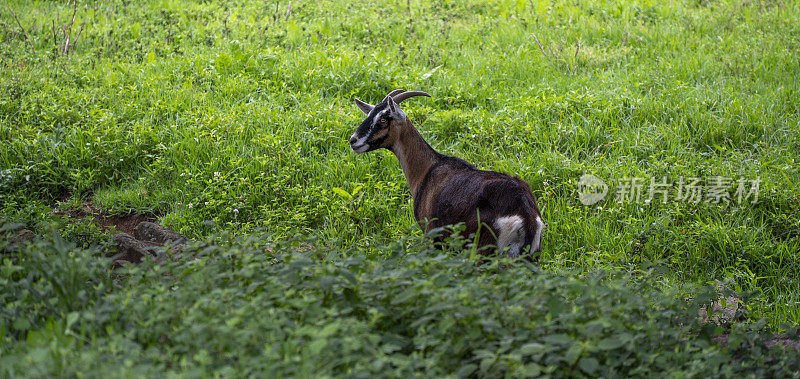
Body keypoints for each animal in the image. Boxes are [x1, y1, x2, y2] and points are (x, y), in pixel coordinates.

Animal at [350, 89, 544, 262]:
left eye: (383, 119)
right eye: (369, 115)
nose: (353, 141)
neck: (427, 170)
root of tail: (526, 215)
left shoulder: (431, 234)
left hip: (485, 251)